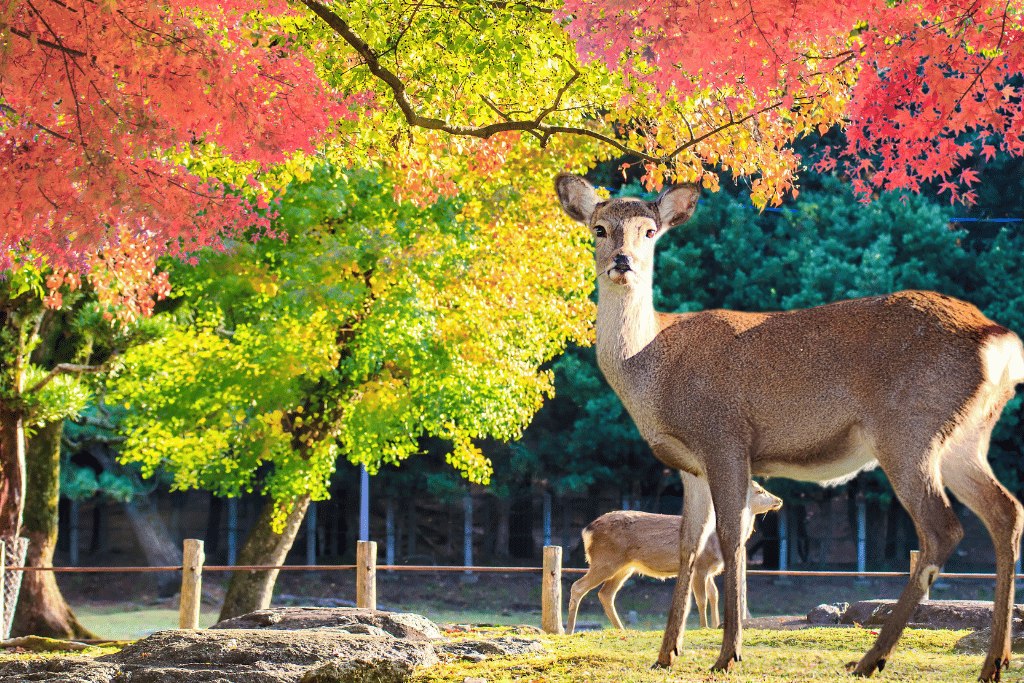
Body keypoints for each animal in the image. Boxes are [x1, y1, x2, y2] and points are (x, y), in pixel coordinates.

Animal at [565, 475, 782, 634]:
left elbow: (714, 595)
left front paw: (715, 626)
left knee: (606, 593)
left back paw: (621, 630)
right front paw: (703, 626)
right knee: (578, 587)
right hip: (605, 560)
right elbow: (701, 598)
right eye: (760, 491)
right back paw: (568, 630)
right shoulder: (700, 566)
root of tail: (587, 531)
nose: (778, 500)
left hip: (625, 566)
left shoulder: (710, 570)